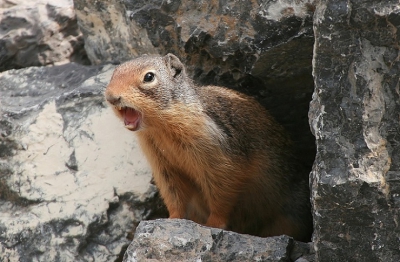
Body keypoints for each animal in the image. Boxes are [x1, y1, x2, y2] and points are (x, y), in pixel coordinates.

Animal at [104, 53, 312, 242]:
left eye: (148, 77)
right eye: (114, 74)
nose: (111, 97)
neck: (160, 129)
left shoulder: (217, 157)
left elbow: (221, 192)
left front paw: (213, 224)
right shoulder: (162, 165)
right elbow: (174, 195)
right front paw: (171, 219)